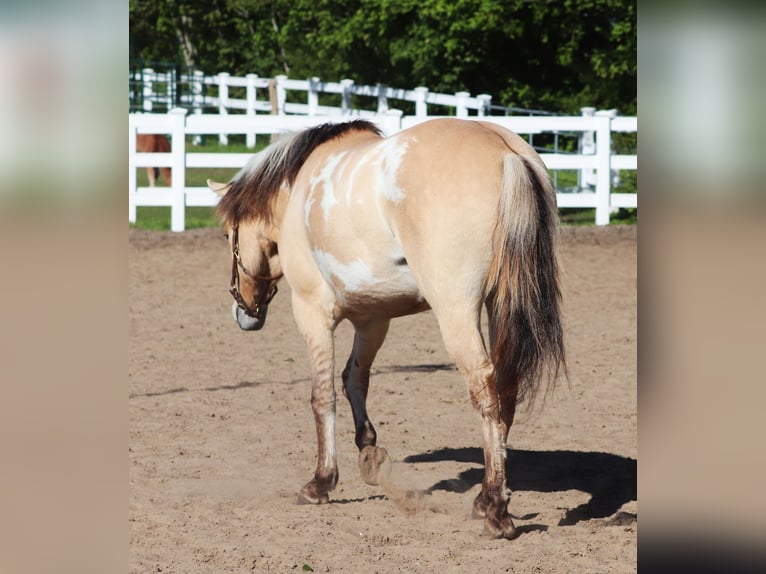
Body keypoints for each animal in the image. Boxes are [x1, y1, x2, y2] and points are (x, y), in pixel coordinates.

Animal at [208, 118, 566, 539]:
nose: (244, 311)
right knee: (507, 387)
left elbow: (322, 395)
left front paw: (321, 482)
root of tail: (505, 153)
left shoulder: (311, 310)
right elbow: (354, 379)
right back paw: (485, 497)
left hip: (456, 310)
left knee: (485, 388)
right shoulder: (373, 319)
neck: (297, 189)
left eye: (228, 235)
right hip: (501, 304)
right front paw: (369, 452)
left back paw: (496, 508)